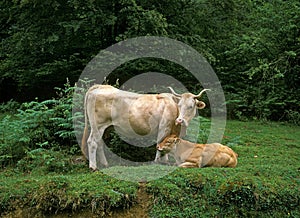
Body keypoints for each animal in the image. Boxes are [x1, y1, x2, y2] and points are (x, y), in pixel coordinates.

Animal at [81, 84, 210, 171]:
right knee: (92, 142)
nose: (180, 120)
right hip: (98, 125)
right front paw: (159, 161)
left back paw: (104, 164)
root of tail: (100, 86)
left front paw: (165, 161)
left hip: (104, 127)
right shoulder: (163, 127)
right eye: (179, 105)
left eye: (191, 106)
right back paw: (93, 167)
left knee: (99, 143)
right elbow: (160, 143)